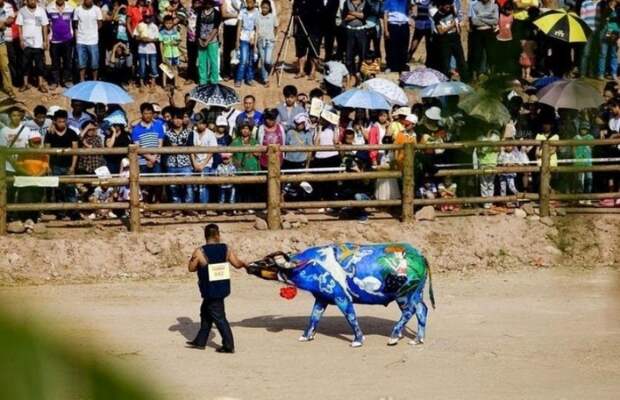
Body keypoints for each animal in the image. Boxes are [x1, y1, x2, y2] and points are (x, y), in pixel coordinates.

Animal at [245, 244, 434, 346]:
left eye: (268, 262)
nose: (248, 266)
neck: (314, 265)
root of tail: (420, 255)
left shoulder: (342, 298)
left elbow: (351, 317)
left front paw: (357, 340)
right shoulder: (321, 298)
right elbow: (313, 317)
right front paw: (306, 336)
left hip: (404, 295)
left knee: (409, 311)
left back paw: (394, 336)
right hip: (416, 294)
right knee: (422, 310)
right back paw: (417, 339)